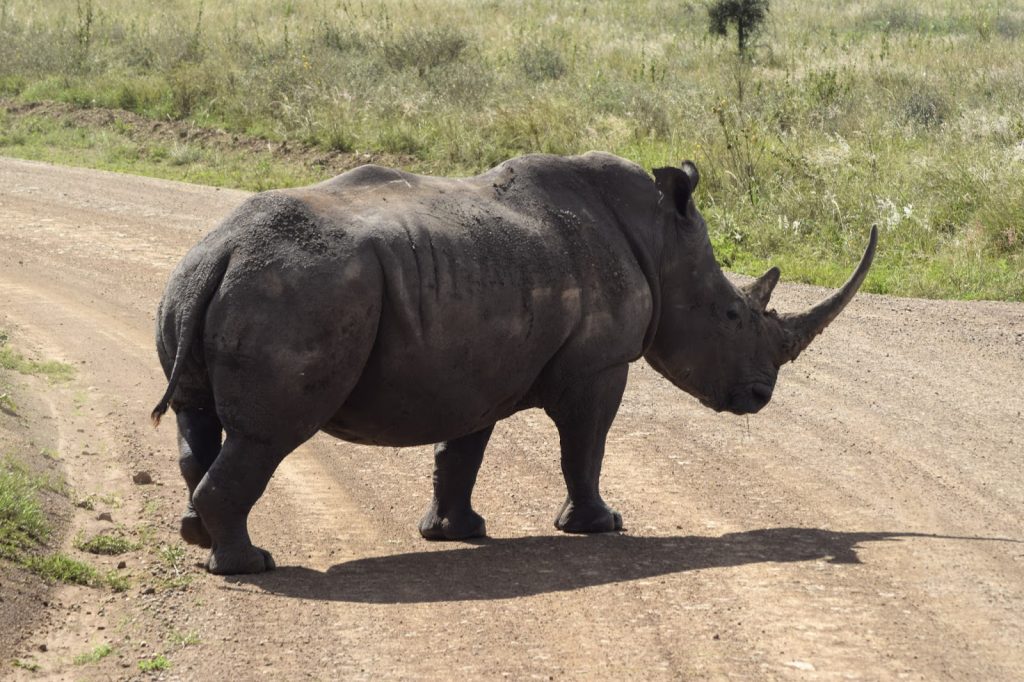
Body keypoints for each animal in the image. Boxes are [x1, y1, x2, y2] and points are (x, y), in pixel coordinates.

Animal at [153, 152, 876, 574]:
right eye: (731, 315)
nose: (760, 396)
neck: (660, 241)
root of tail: (223, 252)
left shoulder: (470, 362)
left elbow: (462, 449)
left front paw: (458, 533)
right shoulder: (596, 366)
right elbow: (585, 445)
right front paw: (600, 526)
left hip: (194, 282)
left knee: (199, 419)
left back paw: (203, 540)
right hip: (298, 293)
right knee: (268, 436)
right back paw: (251, 565)